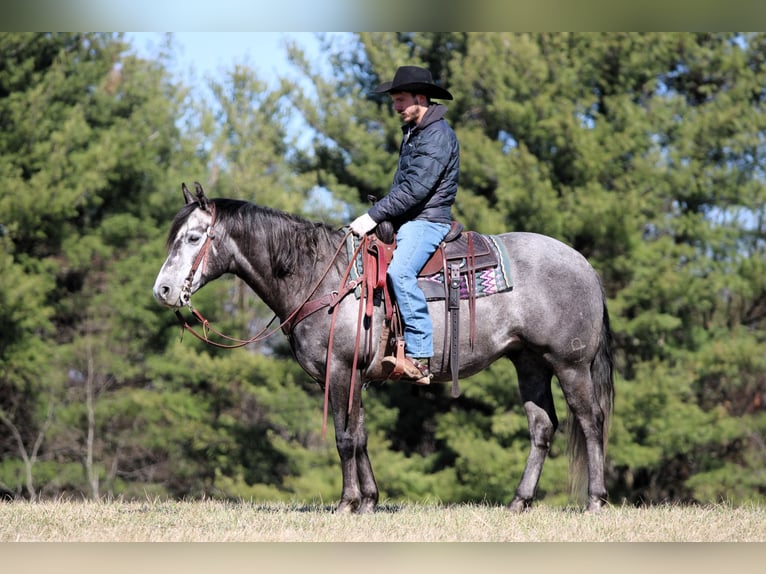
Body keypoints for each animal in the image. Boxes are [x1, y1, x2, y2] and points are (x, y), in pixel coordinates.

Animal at [153, 182, 614, 514]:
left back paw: (595, 500)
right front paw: (370, 501)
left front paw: (347, 503)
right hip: (530, 363)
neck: (321, 277)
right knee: (542, 427)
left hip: (570, 365)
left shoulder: (340, 370)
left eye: (193, 237)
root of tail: (585, 265)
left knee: (591, 421)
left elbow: (343, 438)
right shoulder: (354, 375)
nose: (164, 290)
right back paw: (519, 501)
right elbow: (360, 434)